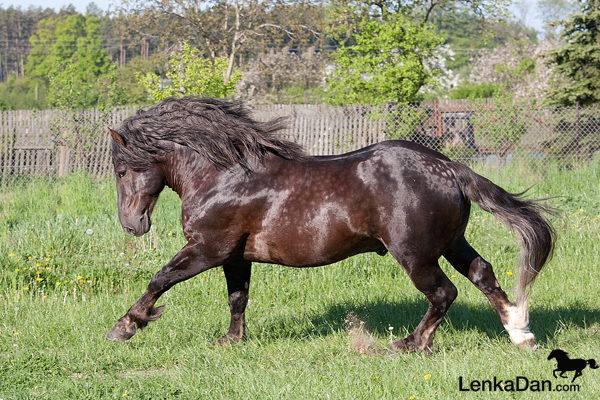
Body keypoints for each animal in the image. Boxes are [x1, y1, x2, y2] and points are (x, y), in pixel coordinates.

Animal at [105, 97, 556, 354]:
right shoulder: (235, 256)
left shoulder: (207, 249)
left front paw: (125, 327)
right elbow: (238, 299)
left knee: (444, 293)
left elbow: (159, 279)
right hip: (450, 243)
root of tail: (449, 167)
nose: (131, 226)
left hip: (415, 254)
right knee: (482, 274)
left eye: (122, 170)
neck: (223, 175)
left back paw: (410, 344)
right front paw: (231, 341)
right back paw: (521, 334)